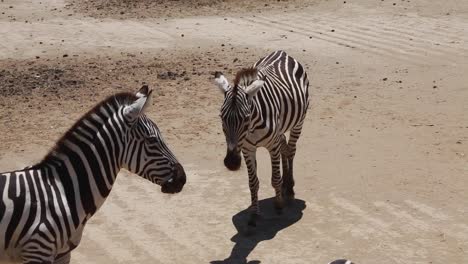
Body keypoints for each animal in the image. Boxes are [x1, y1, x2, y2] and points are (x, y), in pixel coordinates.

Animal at [214, 50, 308, 227]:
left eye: (246, 118)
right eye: (221, 117)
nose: (231, 163)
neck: (252, 127)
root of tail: (282, 52)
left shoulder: (272, 146)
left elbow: (275, 178)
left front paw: (279, 205)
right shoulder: (247, 148)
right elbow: (253, 183)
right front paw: (254, 215)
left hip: (298, 122)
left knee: (291, 150)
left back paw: (289, 189)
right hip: (280, 130)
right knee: (285, 147)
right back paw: (285, 188)